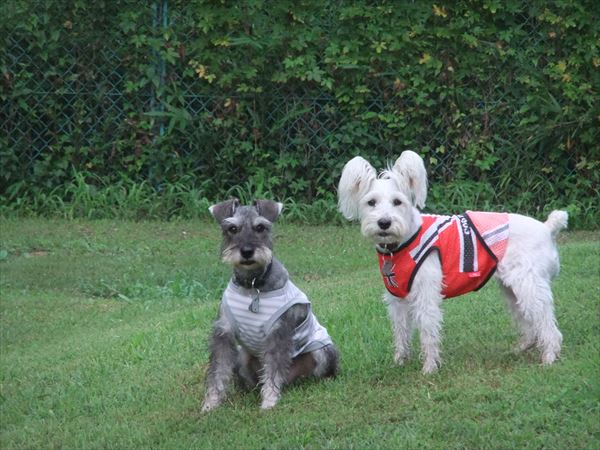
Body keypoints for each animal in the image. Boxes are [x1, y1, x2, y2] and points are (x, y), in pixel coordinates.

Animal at [201, 199, 339, 411]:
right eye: (232, 228)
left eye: (260, 227)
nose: (247, 251)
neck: (252, 286)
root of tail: (290, 378)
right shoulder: (223, 333)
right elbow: (218, 370)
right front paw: (210, 404)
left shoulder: (278, 333)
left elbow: (273, 368)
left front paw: (269, 401)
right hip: (242, 356)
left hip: (321, 351)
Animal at [337, 151, 567, 374]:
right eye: (371, 202)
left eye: (397, 202)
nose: (384, 223)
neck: (402, 243)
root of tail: (547, 227)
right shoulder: (397, 301)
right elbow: (401, 332)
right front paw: (399, 362)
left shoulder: (426, 296)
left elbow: (428, 332)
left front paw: (429, 368)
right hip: (511, 290)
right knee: (528, 321)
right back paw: (523, 347)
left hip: (529, 286)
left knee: (547, 324)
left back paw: (549, 357)